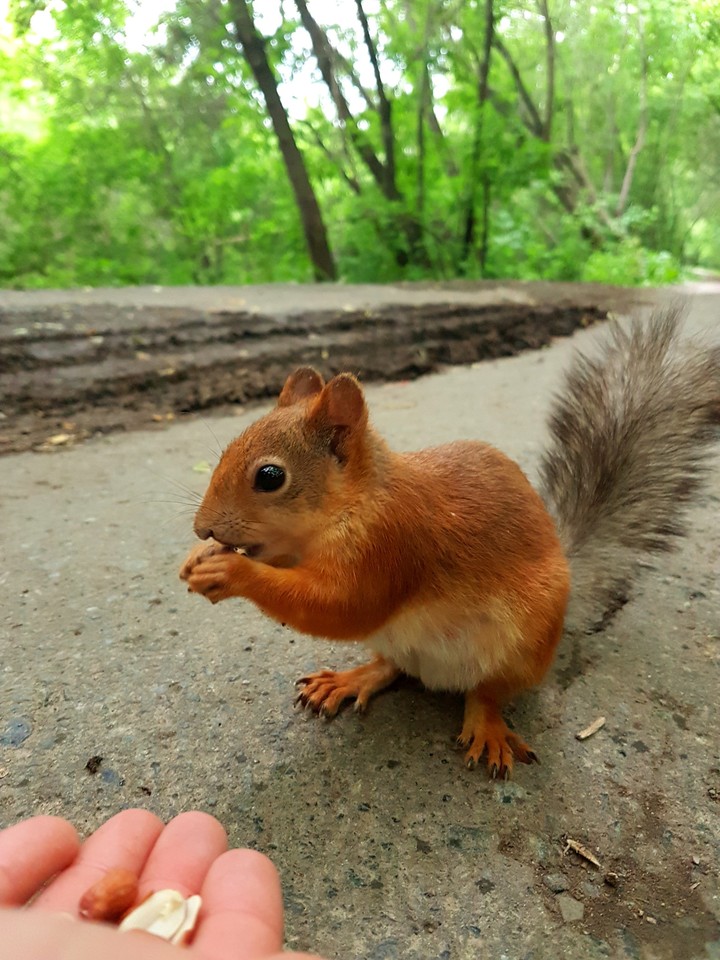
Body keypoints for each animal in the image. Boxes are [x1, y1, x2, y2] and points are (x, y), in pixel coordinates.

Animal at [180, 306, 720, 778]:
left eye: (270, 477)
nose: (202, 527)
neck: (357, 500)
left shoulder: (390, 544)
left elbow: (342, 606)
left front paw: (230, 571)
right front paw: (200, 558)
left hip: (521, 647)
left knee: (487, 693)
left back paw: (486, 726)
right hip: (398, 644)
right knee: (392, 666)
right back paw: (352, 678)